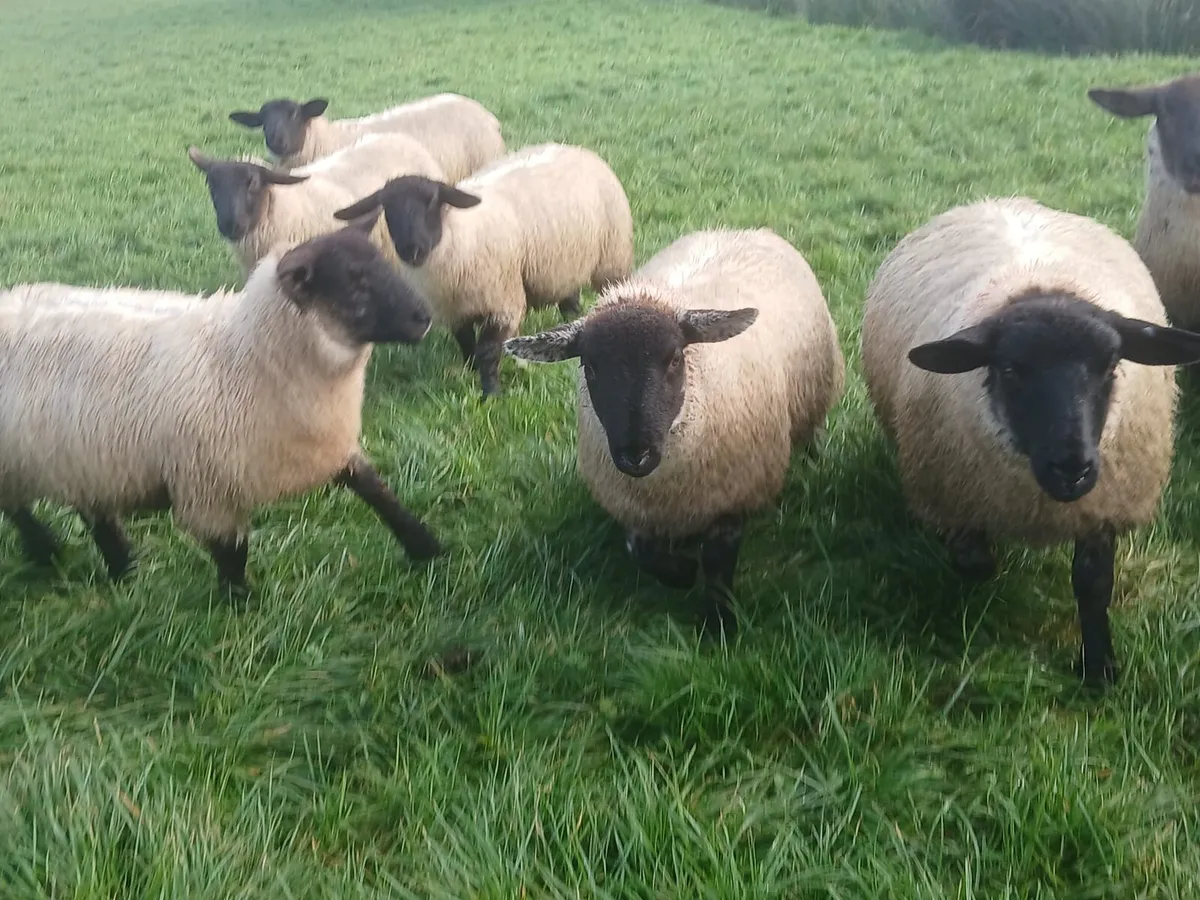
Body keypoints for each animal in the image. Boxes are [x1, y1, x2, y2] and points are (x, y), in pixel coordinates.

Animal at [0, 214, 444, 592]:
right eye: (354, 284)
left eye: (384, 265)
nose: (424, 317)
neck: (244, 354)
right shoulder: (207, 486)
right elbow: (232, 551)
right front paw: (238, 603)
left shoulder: (324, 445)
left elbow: (378, 492)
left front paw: (428, 548)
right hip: (23, 461)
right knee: (19, 510)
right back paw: (49, 552)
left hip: (81, 460)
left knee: (95, 514)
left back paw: (122, 569)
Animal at [332, 142, 636, 398]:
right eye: (387, 209)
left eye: (433, 201)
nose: (412, 250)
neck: (459, 234)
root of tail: (576, 148)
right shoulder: (455, 310)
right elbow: (466, 343)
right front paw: (469, 372)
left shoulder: (502, 304)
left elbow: (488, 351)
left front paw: (491, 394)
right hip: (565, 261)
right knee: (569, 296)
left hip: (612, 260)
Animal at [503, 228, 845, 635]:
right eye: (590, 365)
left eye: (675, 358)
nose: (636, 455)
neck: (666, 490)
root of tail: (743, 229)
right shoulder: (634, 507)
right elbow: (642, 553)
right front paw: (681, 573)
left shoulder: (731, 497)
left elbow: (717, 566)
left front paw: (718, 625)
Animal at [861, 196, 1200, 686]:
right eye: (1009, 370)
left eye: (1111, 365)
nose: (1072, 468)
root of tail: (1000, 200)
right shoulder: (954, 497)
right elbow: (975, 563)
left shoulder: (1101, 505)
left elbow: (1093, 584)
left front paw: (1099, 668)